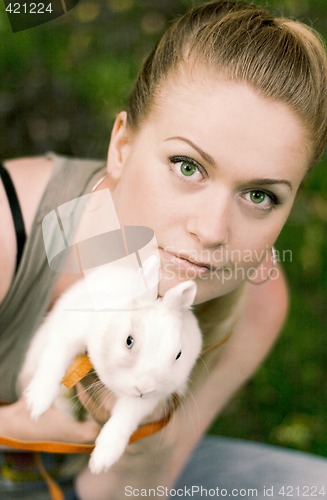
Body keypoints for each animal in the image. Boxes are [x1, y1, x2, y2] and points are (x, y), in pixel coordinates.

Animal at [20, 258, 202, 472]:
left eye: (178, 355)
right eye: (129, 340)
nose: (143, 388)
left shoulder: (149, 400)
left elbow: (124, 419)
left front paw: (101, 460)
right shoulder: (70, 331)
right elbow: (55, 361)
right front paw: (37, 404)